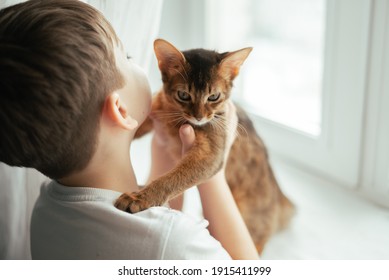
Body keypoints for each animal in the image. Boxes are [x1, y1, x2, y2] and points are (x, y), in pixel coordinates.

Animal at [115, 38, 294, 253]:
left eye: (213, 97)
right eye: (183, 95)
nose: (199, 117)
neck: (173, 120)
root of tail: (280, 197)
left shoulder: (211, 156)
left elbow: (171, 179)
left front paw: (139, 198)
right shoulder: (152, 114)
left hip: (251, 219)